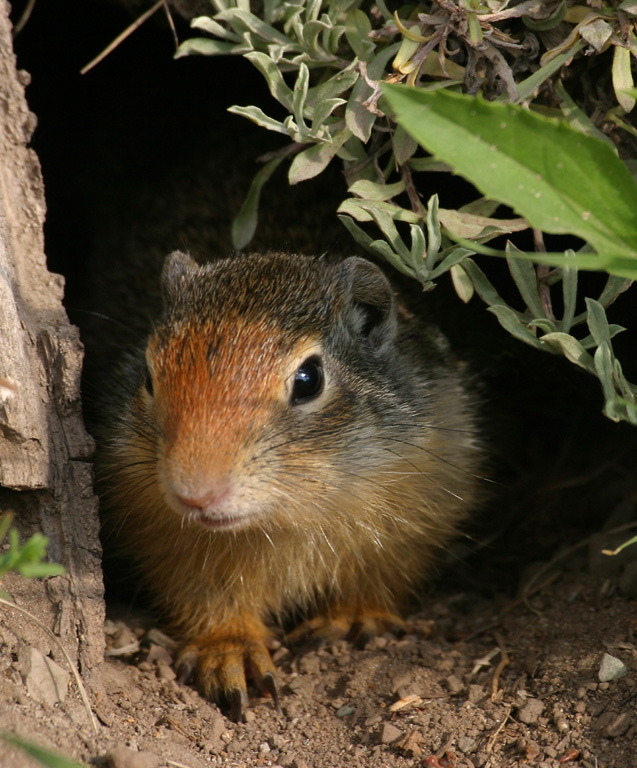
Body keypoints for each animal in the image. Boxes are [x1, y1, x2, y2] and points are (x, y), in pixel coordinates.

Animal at [97, 249, 480, 716]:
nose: (195, 495)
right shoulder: (163, 536)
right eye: (149, 377)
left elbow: (380, 578)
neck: (289, 514)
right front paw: (229, 649)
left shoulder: (416, 516)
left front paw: (353, 616)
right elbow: (204, 597)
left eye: (309, 379)